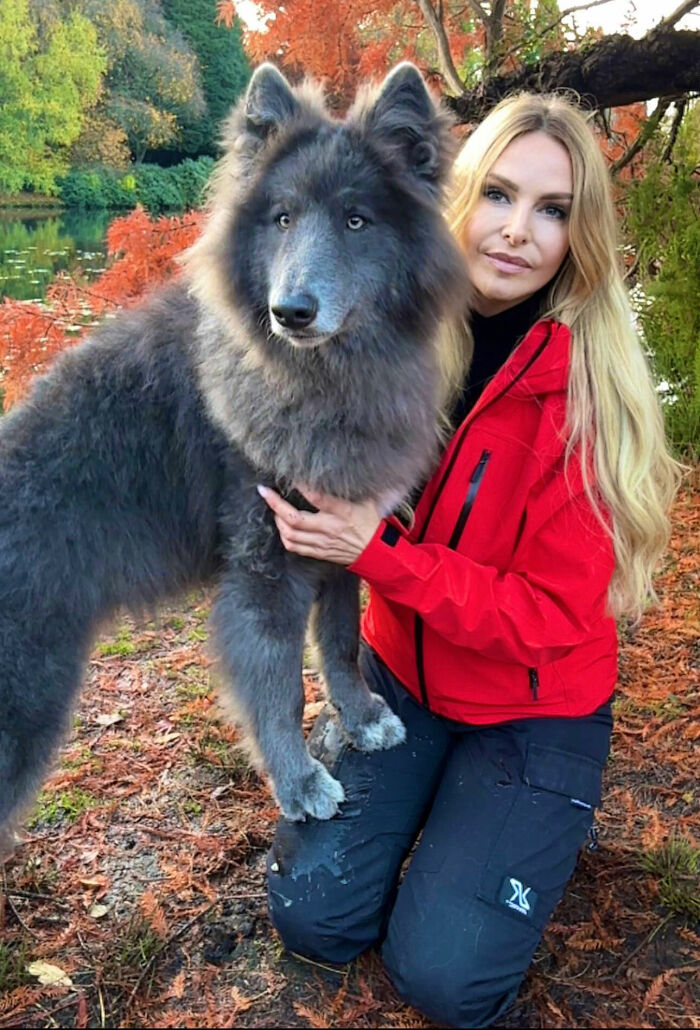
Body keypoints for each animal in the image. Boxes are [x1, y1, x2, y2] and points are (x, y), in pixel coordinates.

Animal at [0, 62, 467, 853]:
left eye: (356, 220)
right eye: (281, 219)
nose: (292, 311)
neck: (323, 380)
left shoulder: (340, 547)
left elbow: (340, 646)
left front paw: (362, 717)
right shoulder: (264, 572)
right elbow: (277, 687)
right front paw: (299, 782)